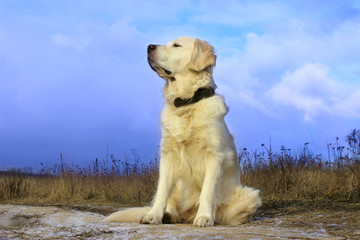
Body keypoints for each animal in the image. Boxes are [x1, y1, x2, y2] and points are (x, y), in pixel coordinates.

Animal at [105, 36, 262, 227]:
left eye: (176, 45)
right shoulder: (168, 156)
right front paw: (153, 215)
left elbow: (207, 192)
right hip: (179, 184)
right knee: (174, 206)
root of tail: (187, 215)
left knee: (223, 213)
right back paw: (167, 215)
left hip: (250, 196)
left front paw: (204, 217)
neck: (187, 103)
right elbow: (162, 191)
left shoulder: (214, 156)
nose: (149, 46)